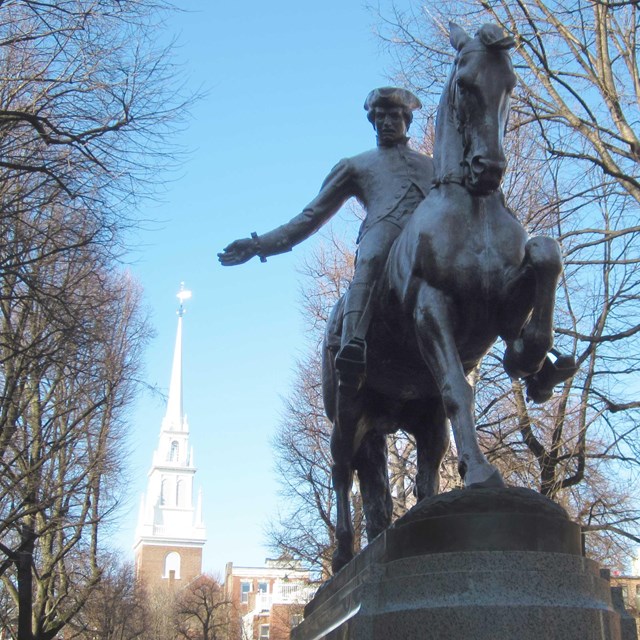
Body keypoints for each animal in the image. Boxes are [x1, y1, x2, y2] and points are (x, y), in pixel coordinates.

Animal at [322, 23, 576, 576]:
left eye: (511, 85)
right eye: (465, 84)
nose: (488, 168)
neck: (473, 208)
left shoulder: (499, 303)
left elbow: (545, 254)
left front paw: (532, 361)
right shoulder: (431, 308)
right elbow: (460, 388)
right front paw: (481, 474)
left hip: (419, 421)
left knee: (415, 477)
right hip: (348, 413)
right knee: (341, 473)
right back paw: (345, 556)